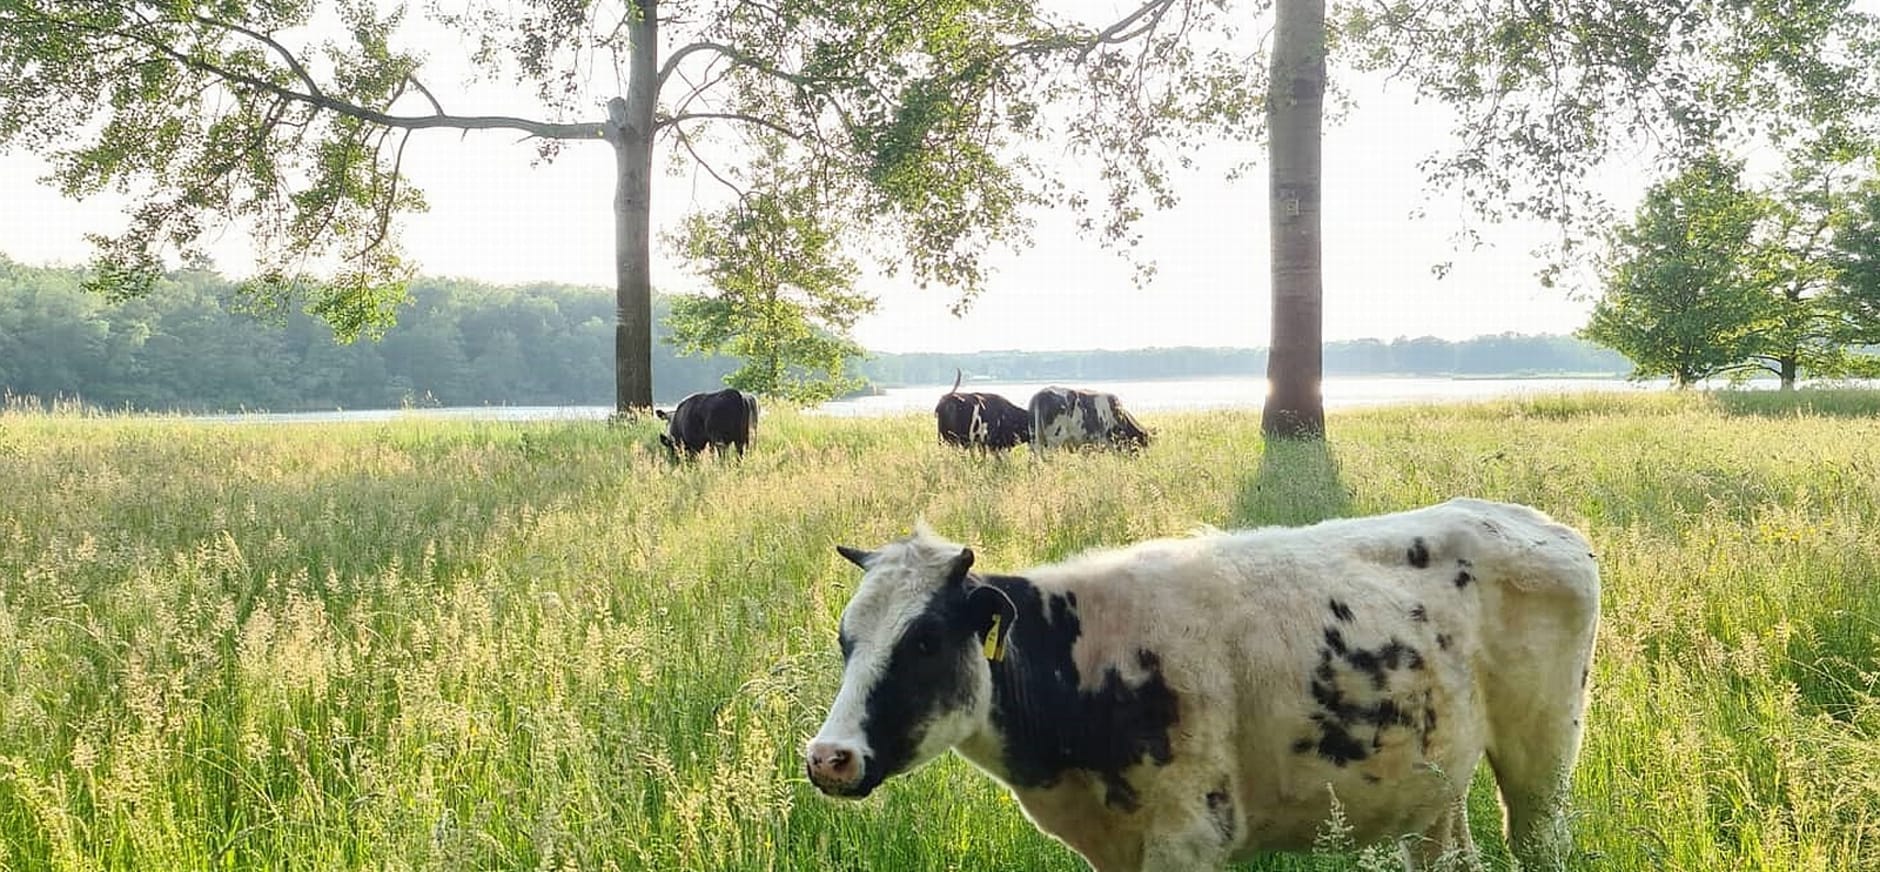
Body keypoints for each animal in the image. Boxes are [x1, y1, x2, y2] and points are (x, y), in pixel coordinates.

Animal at [800, 496, 1594, 872]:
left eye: (925, 641)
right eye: (845, 639)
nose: (829, 758)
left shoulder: (1190, 836)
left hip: (1544, 763)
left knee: (1539, 840)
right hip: (1433, 783)